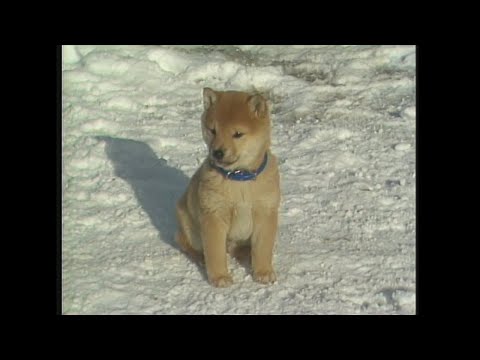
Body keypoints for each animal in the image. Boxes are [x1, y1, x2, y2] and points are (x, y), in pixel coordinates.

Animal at [175, 87, 282, 286]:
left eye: (238, 134)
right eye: (213, 130)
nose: (217, 152)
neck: (240, 180)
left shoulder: (265, 212)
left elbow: (263, 248)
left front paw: (263, 272)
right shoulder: (214, 215)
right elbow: (215, 251)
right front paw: (220, 277)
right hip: (188, 223)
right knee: (184, 241)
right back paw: (200, 258)